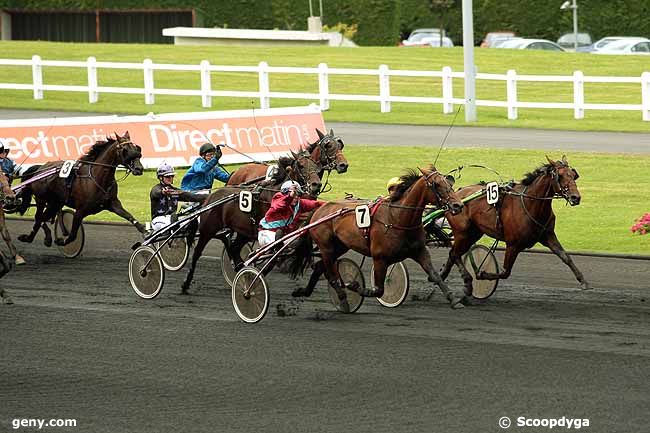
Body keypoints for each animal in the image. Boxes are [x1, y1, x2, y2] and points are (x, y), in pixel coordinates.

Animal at [16, 131, 146, 246]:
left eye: (136, 148)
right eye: (125, 150)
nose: (139, 169)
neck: (97, 178)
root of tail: (40, 168)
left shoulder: (113, 203)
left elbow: (129, 216)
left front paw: (145, 231)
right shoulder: (80, 211)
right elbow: (73, 234)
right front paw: (62, 240)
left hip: (55, 203)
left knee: (42, 218)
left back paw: (45, 238)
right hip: (41, 199)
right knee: (38, 218)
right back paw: (29, 238)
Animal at [180, 148, 322, 294]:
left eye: (317, 166)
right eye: (301, 165)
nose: (316, 185)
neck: (276, 194)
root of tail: (209, 197)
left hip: (243, 232)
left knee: (233, 248)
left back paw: (240, 269)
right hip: (208, 229)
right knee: (198, 252)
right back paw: (186, 283)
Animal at [290, 165, 466, 310]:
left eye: (449, 183)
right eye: (436, 185)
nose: (458, 205)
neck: (397, 218)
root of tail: (319, 209)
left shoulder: (419, 251)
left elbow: (435, 275)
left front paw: (453, 299)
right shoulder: (380, 258)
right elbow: (378, 290)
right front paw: (354, 286)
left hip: (339, 246)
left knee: (320, 267)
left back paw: (303, 291)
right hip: (326, 246)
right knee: (332, 276)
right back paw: (343, 300)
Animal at [436, 154, 588, 296]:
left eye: (573, 175)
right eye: (560, 176)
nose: (575, 197)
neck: (530, 204)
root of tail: (455, 195)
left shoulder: (548, 235)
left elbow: (565, 257)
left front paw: (583, 281)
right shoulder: (513, 245)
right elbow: (505, 272)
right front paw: (482, 274)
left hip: (473, 233)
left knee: (454, 254)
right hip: (462, 233)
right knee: (454, 254)